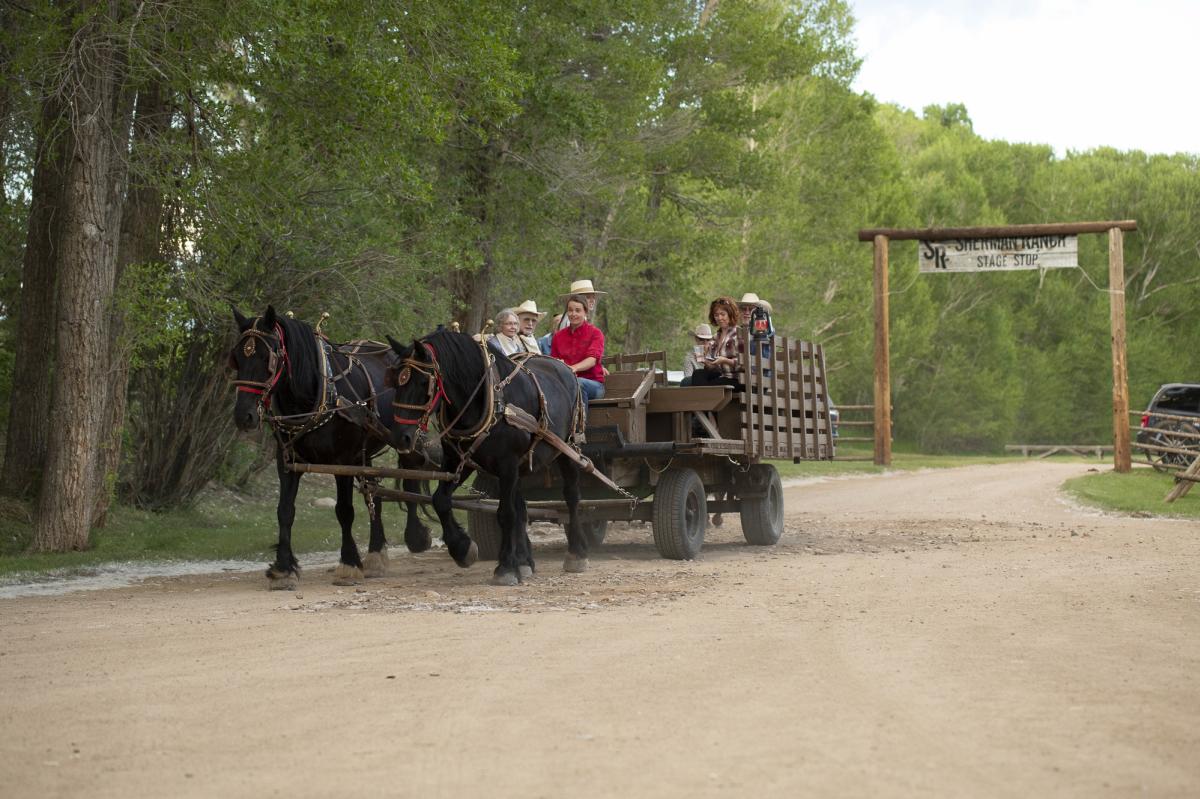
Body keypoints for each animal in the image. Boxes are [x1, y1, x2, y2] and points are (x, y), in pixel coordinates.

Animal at [226, 303, 448, 585]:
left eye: (268, 358)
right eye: (237, 357)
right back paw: (376, 553)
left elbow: (344, 511)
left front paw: (349, 563)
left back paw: (415, 536)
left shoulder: (343, 461)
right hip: (365, 452)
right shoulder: (287, 460)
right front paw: (284, 567)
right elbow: (285, 510)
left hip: (405, 437)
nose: (243, 416)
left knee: (409, 483)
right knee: (373, 493)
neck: (318, 393)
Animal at [386, 326, 588, 583]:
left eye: (424, 382)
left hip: (567, 449)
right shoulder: (460, 460)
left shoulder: (507, 464)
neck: (487, 401)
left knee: (571, 496)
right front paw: (462, 549)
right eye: (396, 381)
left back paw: (576, 553)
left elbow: (505, 514)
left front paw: (505, 567)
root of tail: (563, 367)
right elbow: (440, 500)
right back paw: (525, 561)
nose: (400, 437)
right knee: (522, 507)